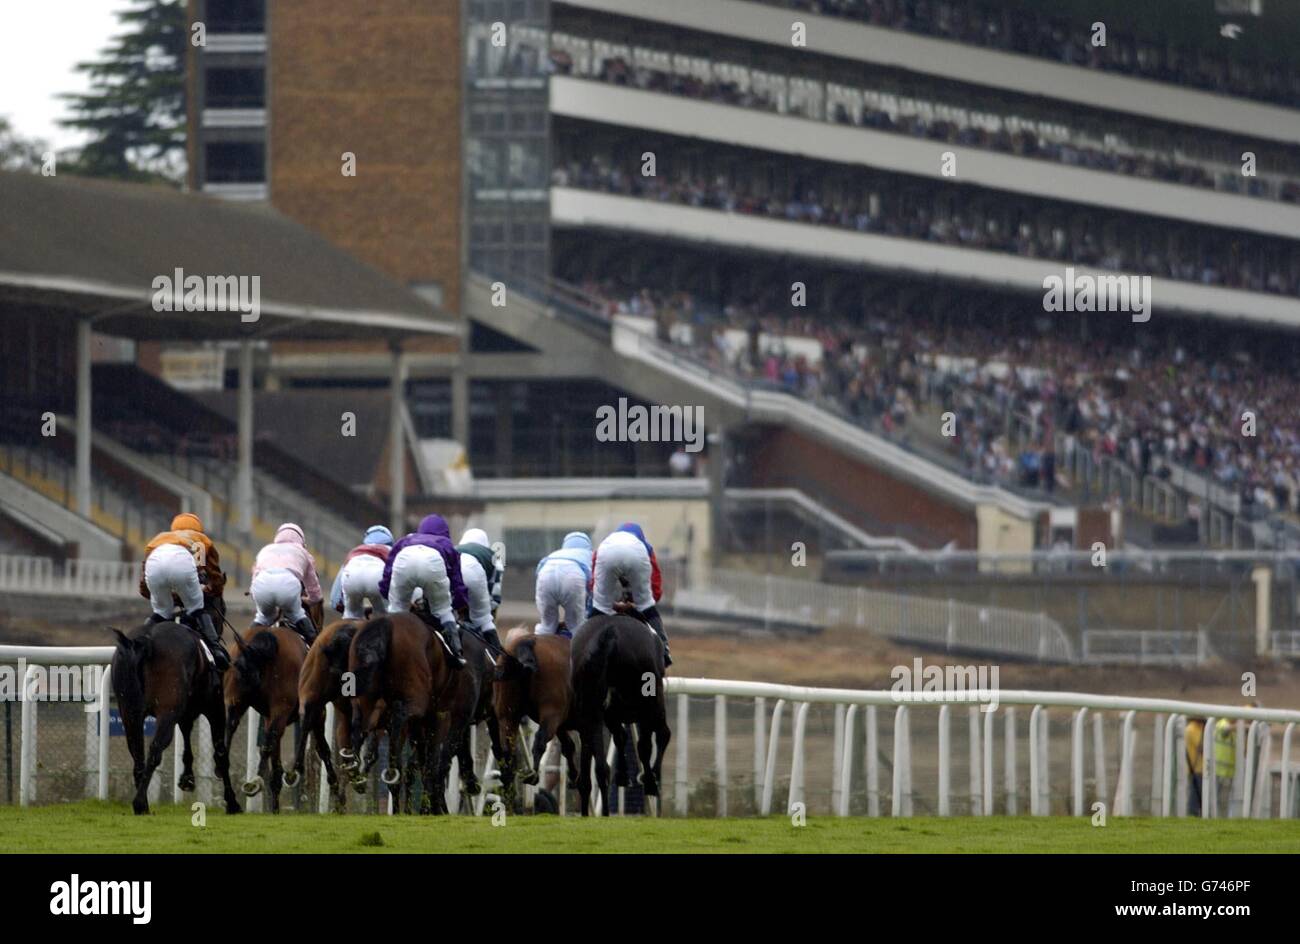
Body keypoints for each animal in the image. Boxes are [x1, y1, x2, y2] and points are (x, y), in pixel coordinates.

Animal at [109, 598, 241, 821]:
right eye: (222, 607)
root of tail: (145, 641)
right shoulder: (214, 707)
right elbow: (221, 753)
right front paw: (232, 802)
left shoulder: (185, 712)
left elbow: (186, 739)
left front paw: (187, 778)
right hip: (166, 713)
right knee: (155, 749)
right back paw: (139, 802)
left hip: (129, 712)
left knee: (137, 750)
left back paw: (142, 800)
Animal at [491, 629, 579, 806]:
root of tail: (526, 642)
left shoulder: (562, 725)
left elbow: (568, 746)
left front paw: (574, 776)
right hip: (550, 712)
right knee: (539, 740)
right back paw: (532, 776)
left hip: (507, 715)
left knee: (508, 753)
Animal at [569, 616, 670, 816]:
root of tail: (607, 634)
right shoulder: (650, 707)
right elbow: (654, 740)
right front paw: (651, 780)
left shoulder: (607, 715)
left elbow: (619, 738)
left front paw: (623, 776)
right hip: (647, 701)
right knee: (652, 740)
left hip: (590, 712)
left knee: (598, 768)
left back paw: (597, 812)